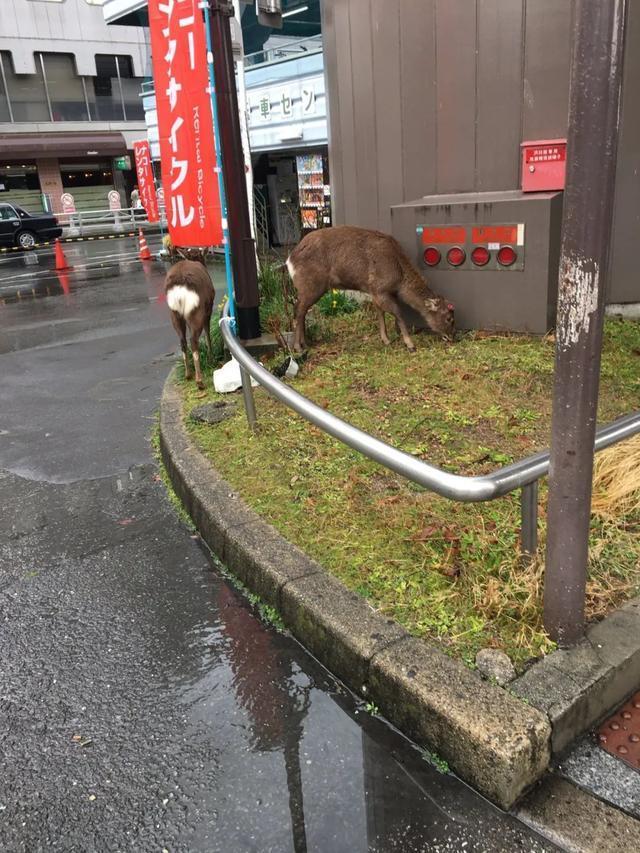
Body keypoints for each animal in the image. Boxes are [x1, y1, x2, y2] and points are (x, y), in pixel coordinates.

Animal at [165, 246, 215, 390]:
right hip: (197, 310)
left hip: (174, 313)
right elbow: (208, 333)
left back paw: (188, 374)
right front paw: (211, 357)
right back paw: (199, 381)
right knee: (193, 340)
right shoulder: (209, 308)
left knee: (182, 340)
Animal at [284, 225, 456, 352]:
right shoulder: (380, 288)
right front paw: (410, 344)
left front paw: (385, 339)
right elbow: (398, 313)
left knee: (301, 309)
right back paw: (298, 347)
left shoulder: (374, 291)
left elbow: (379, 313)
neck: (399, 278)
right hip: (311, 285)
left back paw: (305, 343)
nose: (452, 338)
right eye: (449, 318)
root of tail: (289, 260)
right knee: (299, 309)